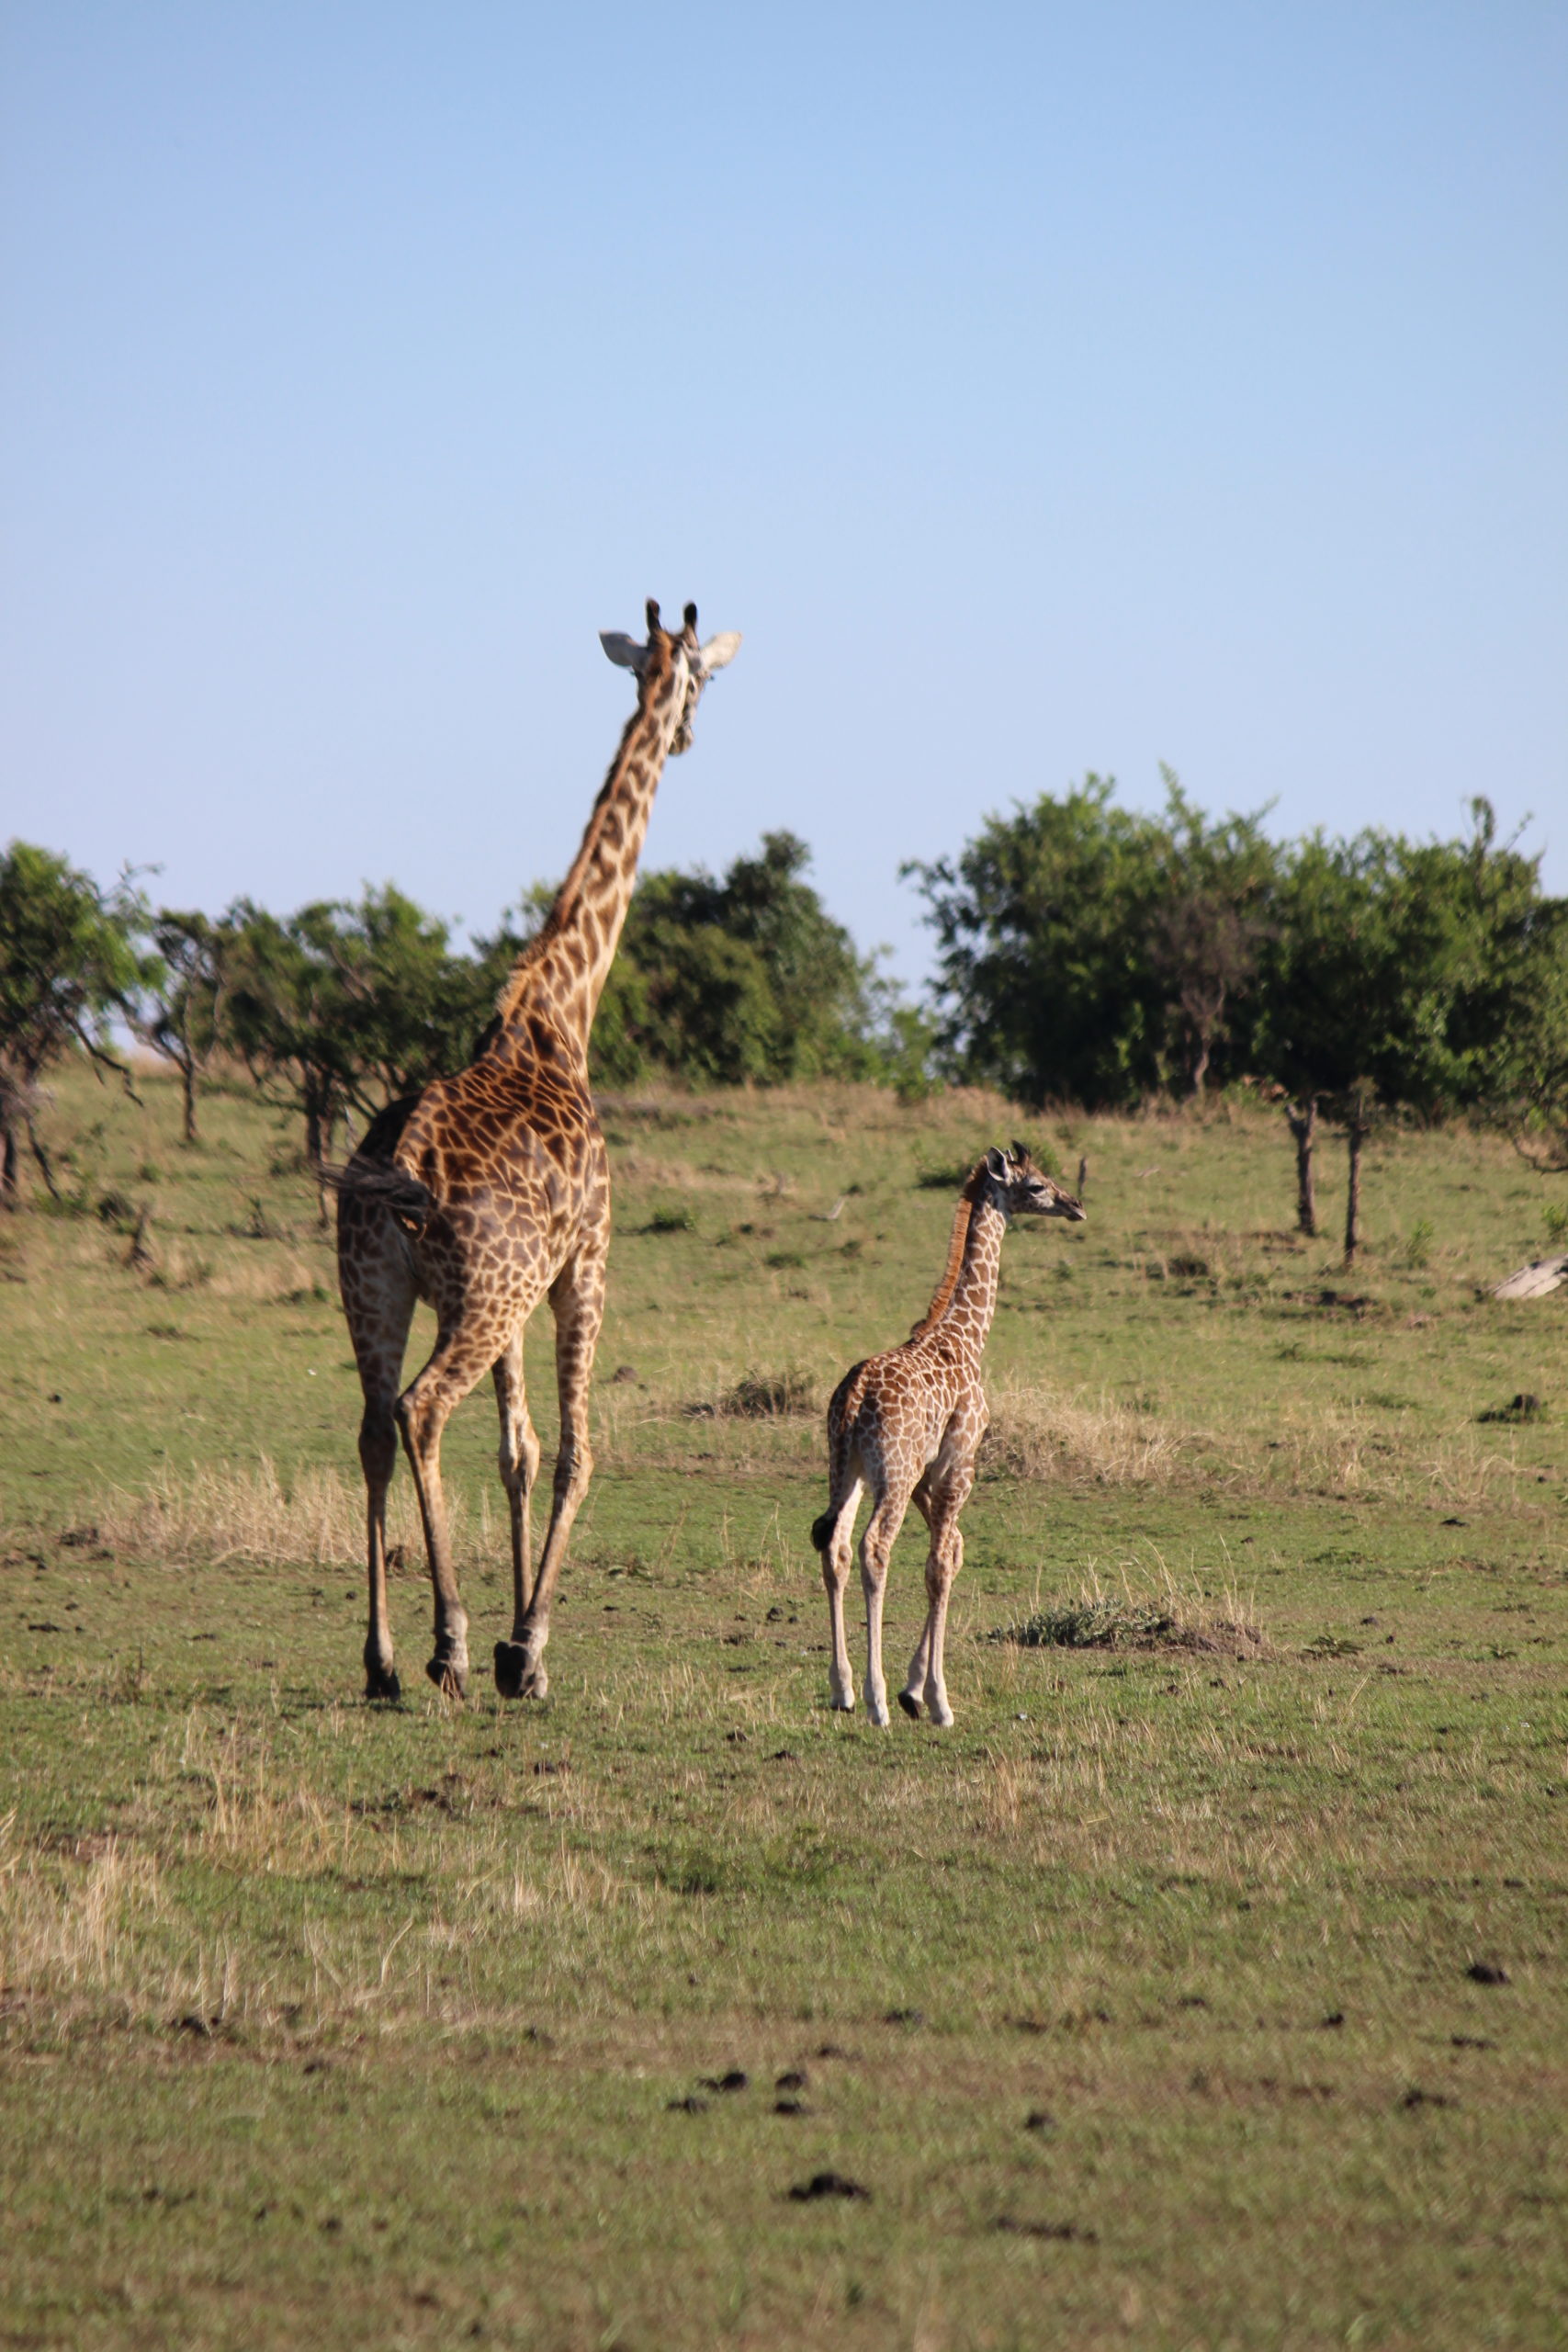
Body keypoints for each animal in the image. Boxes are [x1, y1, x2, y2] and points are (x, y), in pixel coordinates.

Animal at [333, 597, 738, 1702]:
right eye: (701, 678)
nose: (688, 734)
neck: (559, 1013)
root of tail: (405, 1152)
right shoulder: (582, 1263)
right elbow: (572, 1452)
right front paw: (529, 1646)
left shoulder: (518, 1293)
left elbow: (516, 1449)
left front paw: (525, 1639)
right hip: (487, 1291)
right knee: (423, 1411)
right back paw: (451, 1643)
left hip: (379, 1287)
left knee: (375, 1423)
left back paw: (383, 1659)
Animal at [808, 1152, 1081, 1731]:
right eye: (1036, 1185)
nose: (1075, 1205)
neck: (965, 1335)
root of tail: (854, 1396)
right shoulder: (959, 1463)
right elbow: (939, 1564)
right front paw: (933, 1699)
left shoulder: (926, 1474)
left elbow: (950, 1552)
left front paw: (917, 1688)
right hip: (891, 1471)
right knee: (874, 1548)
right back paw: (876, 1701)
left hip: (846, 1469)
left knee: (835, 1544)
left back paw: (843, 1690)